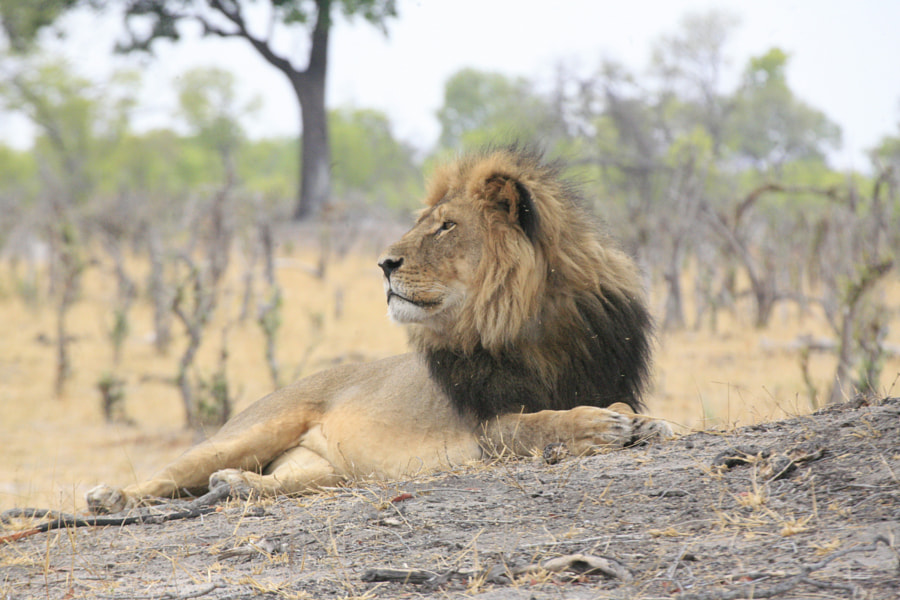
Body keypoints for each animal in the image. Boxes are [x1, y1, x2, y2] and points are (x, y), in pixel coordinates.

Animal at [84, 146, 672, 516]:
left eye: (447, 226)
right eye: (424, 223)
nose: (384, 264)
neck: (533, 322)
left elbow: (628, 406)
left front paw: (646, 423)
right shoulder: (487, 429)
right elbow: (544, 422)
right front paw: (600, 425)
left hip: (334, 473)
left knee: (270, 483)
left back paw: (232, 485)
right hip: (251, 430)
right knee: (167, 475)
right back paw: (110, 497)